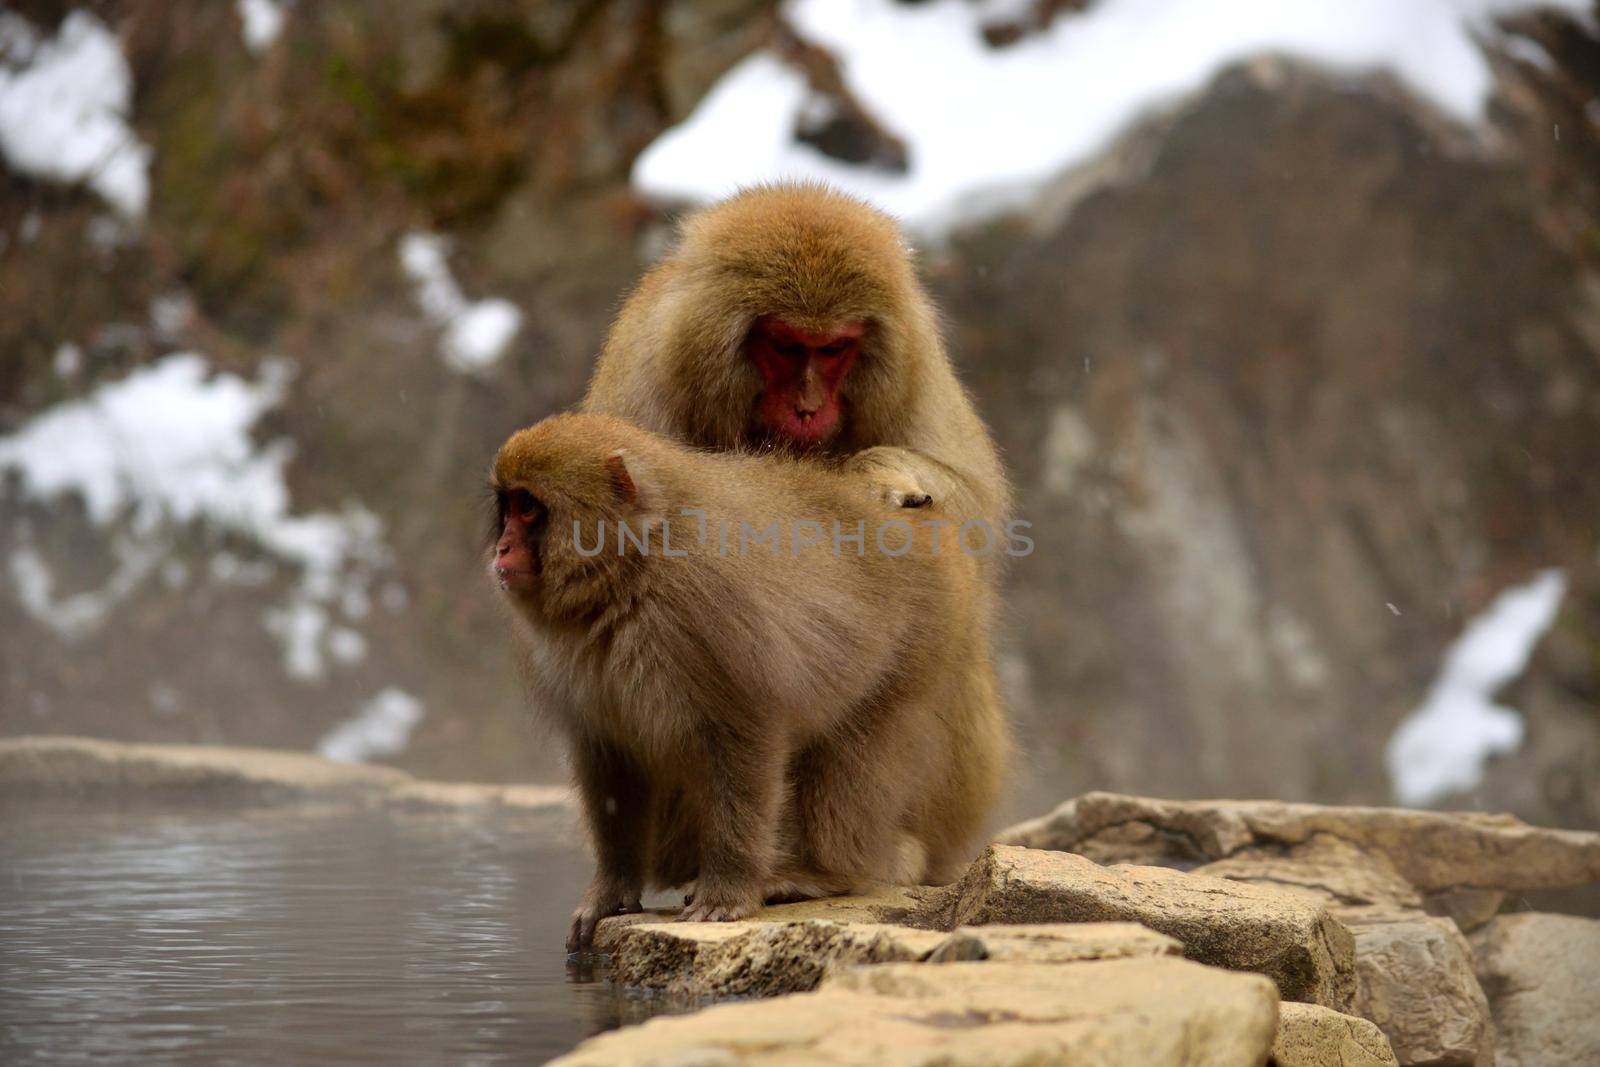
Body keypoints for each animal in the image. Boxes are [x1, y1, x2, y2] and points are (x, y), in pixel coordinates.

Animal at [492, 415, 1004, 953]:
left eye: (529, 507)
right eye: (508, 506)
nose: (502, 547)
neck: (632, 568)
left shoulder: (705, 610)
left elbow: (743, 739)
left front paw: (728, 892)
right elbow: (612, 763)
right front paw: (611, 893)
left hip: (925, 635)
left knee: (857, 746)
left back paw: (821, 873)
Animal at [582, 184, 1004, 537]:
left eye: (833, 348)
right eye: (785, 345)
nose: (807, 407)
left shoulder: (916, 371)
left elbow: (974, 501)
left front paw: (881, 477)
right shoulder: (646, 381)